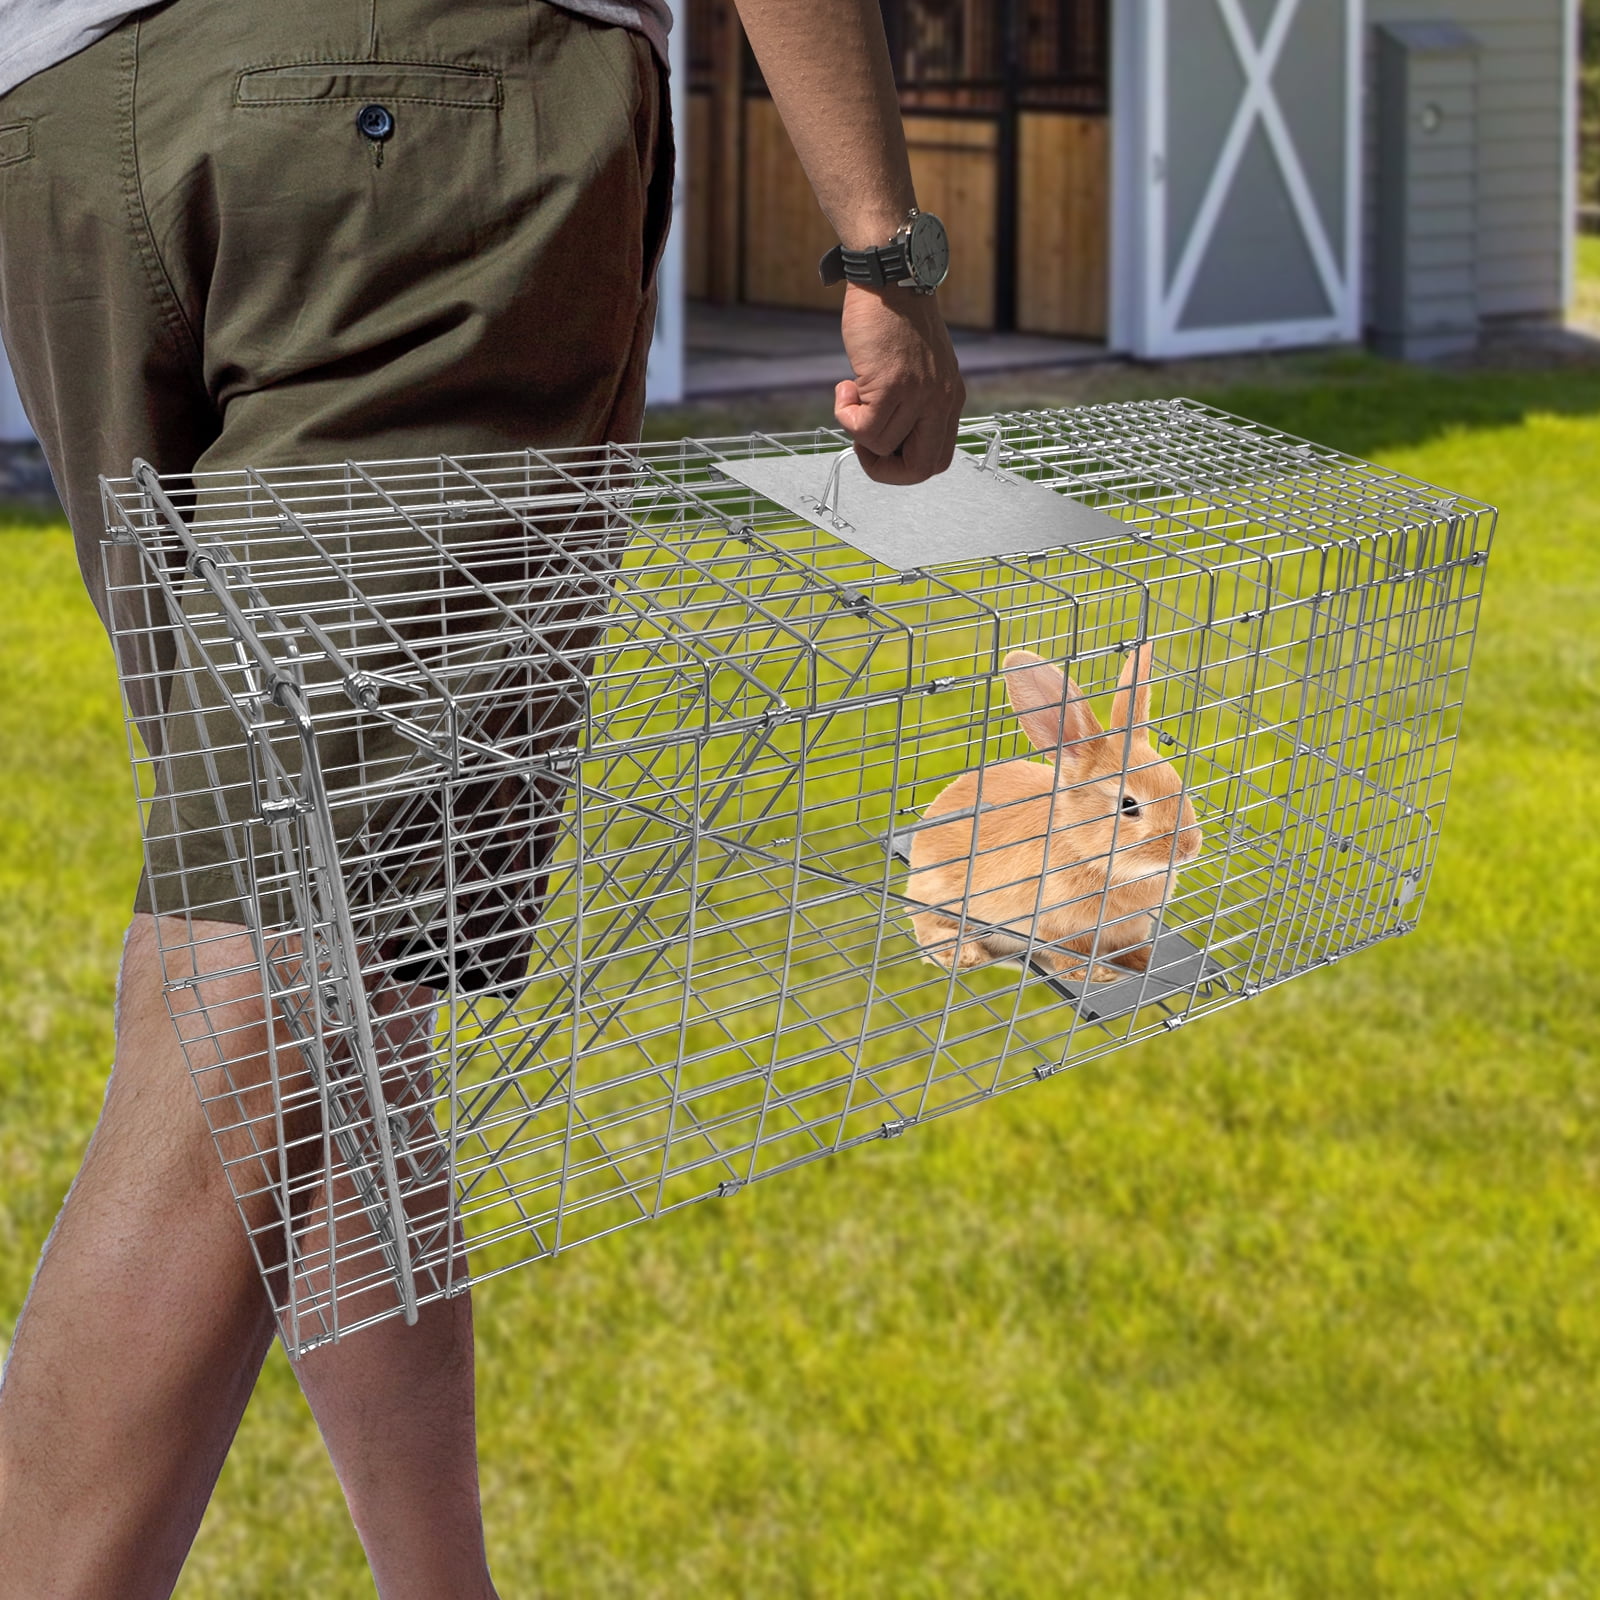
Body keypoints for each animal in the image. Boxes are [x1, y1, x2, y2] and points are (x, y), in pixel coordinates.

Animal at [906, 644, 1202, 984]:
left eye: (1178, 783)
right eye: (1129, 805)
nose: (1188, 849)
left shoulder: (1133, 929)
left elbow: (1131, 949)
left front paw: (1143, 963)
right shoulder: (1057, 926)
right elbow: (1068, 955)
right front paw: (1095, 975)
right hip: (940, 899)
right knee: (927, 927)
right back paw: (966, 954)